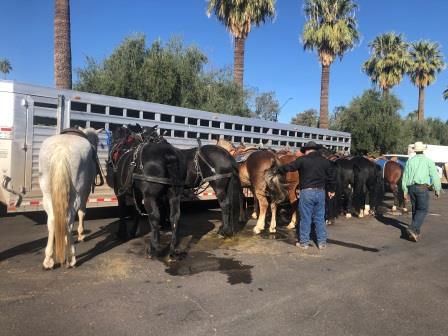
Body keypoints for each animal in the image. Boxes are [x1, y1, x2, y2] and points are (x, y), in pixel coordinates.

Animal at [106, 126, 186, 258]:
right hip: (174, 194)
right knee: (175, 217)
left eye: (113, 138)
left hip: (150, 197)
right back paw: (174, 249)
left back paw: (154, 248)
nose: (108, 160)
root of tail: (169, 156)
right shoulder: (137, 194)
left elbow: (122, 211)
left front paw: (121, 233)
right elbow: (136, 211)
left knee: (154, 216)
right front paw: (133, 231)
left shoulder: (120, 192)